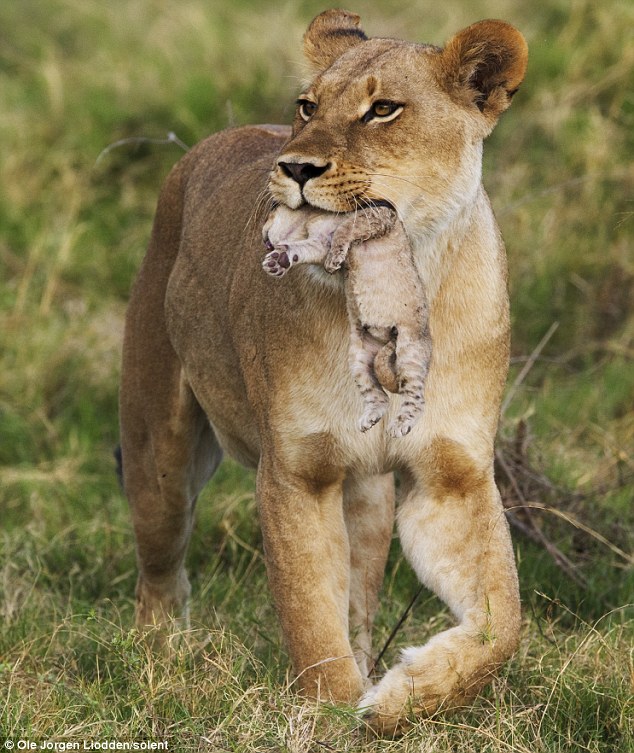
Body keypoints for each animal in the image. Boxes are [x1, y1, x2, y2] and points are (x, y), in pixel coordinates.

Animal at [262, 203, 432, 437]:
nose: (262, 240)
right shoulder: (318, 244)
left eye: (267, 215)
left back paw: (401, 424)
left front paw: (333, 261)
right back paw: (370, 418)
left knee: (416, 397)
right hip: (358, 359)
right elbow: (301, 249)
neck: (308, 221)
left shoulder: (377, 215)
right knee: (381, 397)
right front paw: (279, 261)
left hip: (409, 351)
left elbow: (343, 230)